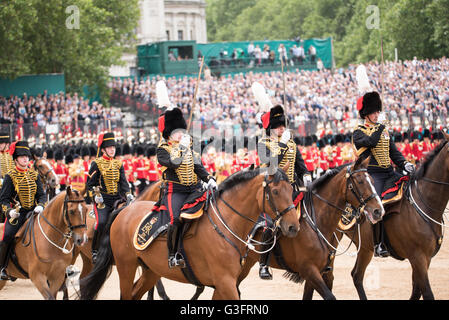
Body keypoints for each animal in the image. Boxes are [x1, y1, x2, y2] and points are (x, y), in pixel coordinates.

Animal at [81, 165, 300, 300]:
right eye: (275, 191)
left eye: (291, 189)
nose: (293, 227)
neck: (226, 223)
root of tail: (125, 209)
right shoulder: (225, 282)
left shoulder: (223, 284)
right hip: (126, 266)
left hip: (151, 271)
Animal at [316, 131, 449, 300]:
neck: (423, 203)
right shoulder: (417, 257)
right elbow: (426, 292)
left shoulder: (425, 259)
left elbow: (416, 291)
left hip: (365, 248)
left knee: (356, 275)